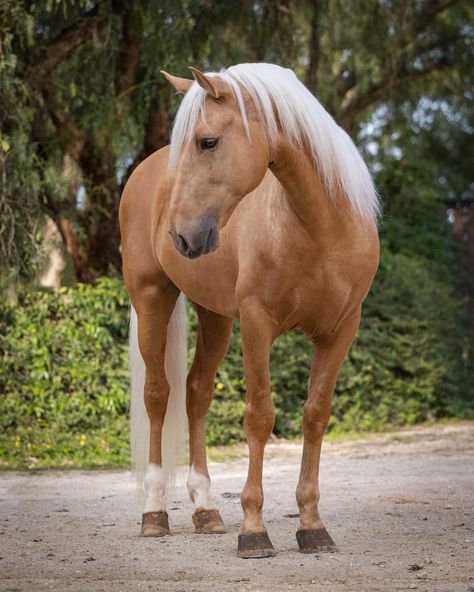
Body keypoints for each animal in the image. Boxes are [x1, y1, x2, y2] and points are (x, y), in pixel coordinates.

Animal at [120, 65, 380, 560]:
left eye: (207, 142)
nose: (181, 237)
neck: (318, 226)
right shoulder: (257, 324)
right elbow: (259, 416)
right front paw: (254, 531)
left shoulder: (340, 330)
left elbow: (315, 414)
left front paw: (312, 526)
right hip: (151, 298)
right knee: (158, 395)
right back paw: (154, 511)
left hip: (216, 317)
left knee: (196, 393)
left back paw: (205, 509)